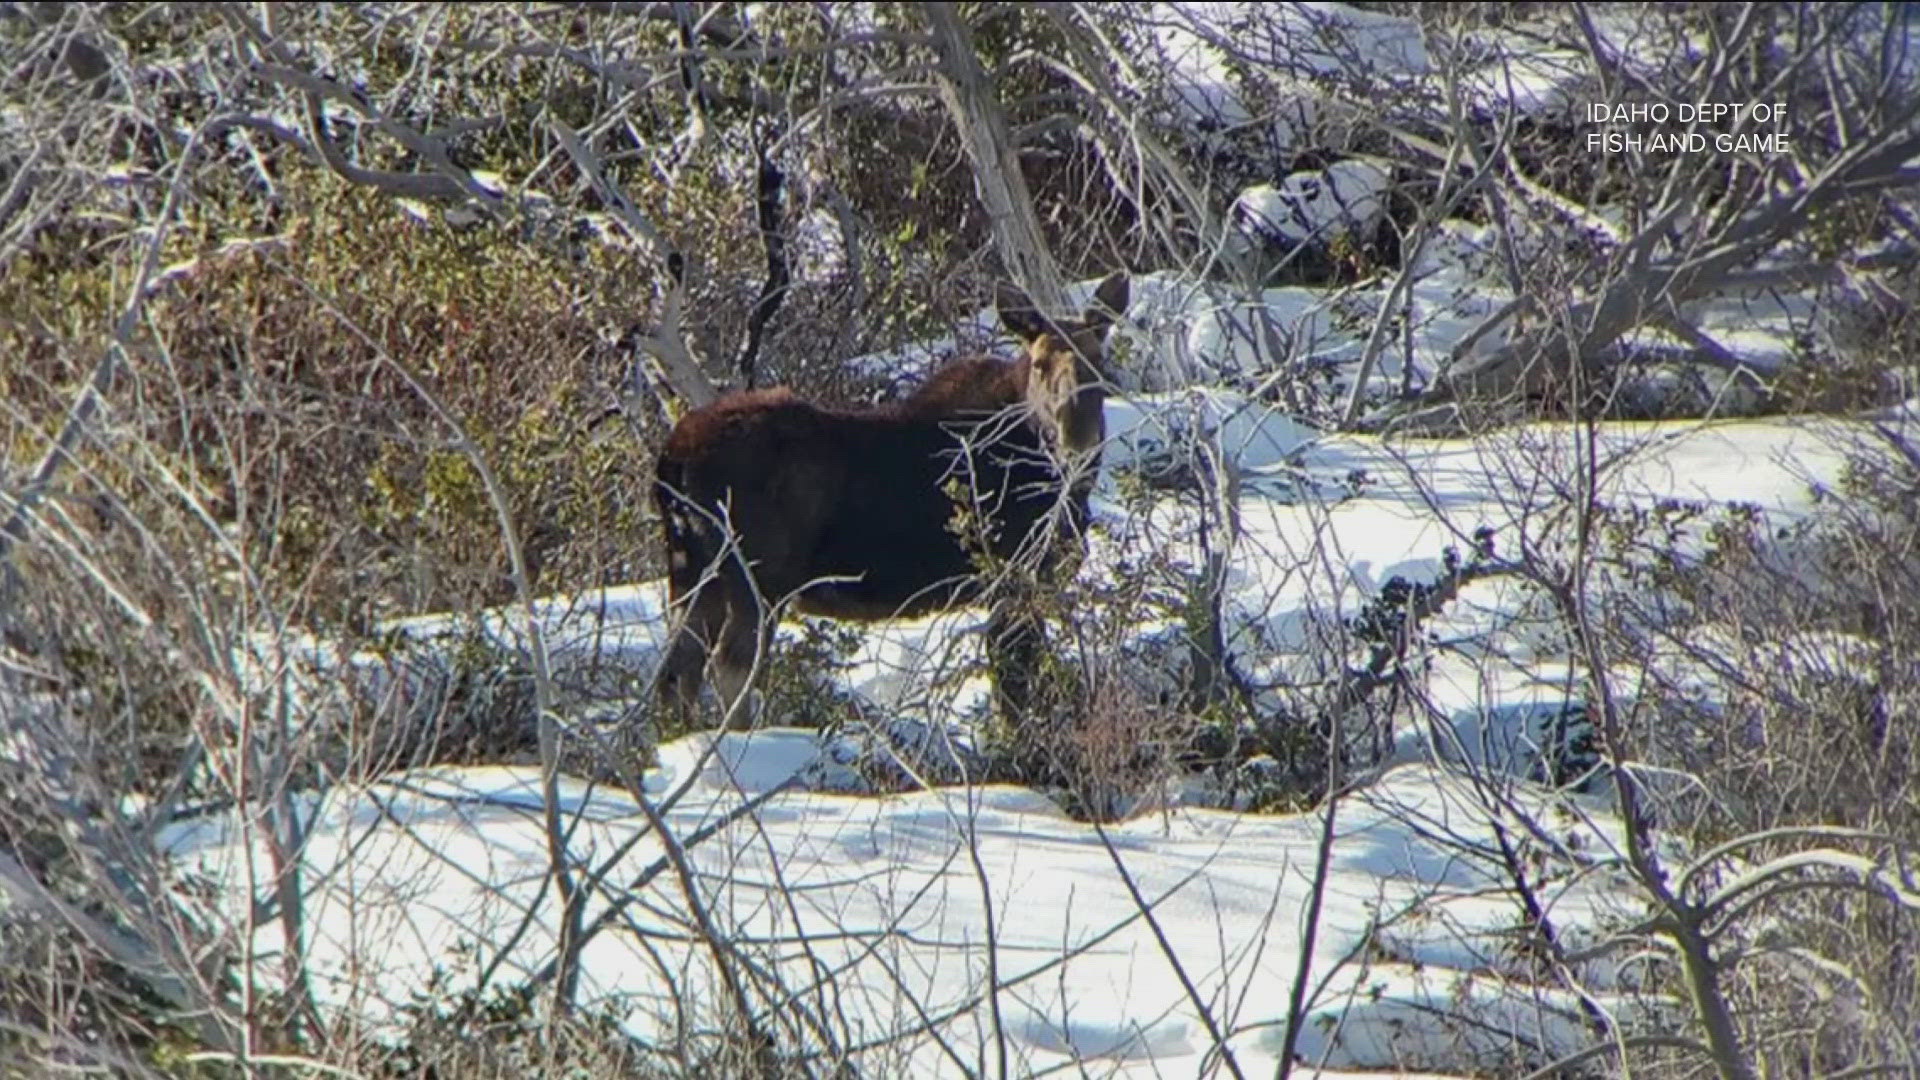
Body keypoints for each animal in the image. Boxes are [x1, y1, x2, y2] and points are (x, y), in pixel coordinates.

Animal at [656, 270, 1121, 722]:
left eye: (1098, 363)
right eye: (1040, 364)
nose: (1076, 439)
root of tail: (671, 461)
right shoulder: (1014, 579)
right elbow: (1014, 696)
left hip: (693, 575)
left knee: (677, 673)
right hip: (755, 578)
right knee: (729, 671)